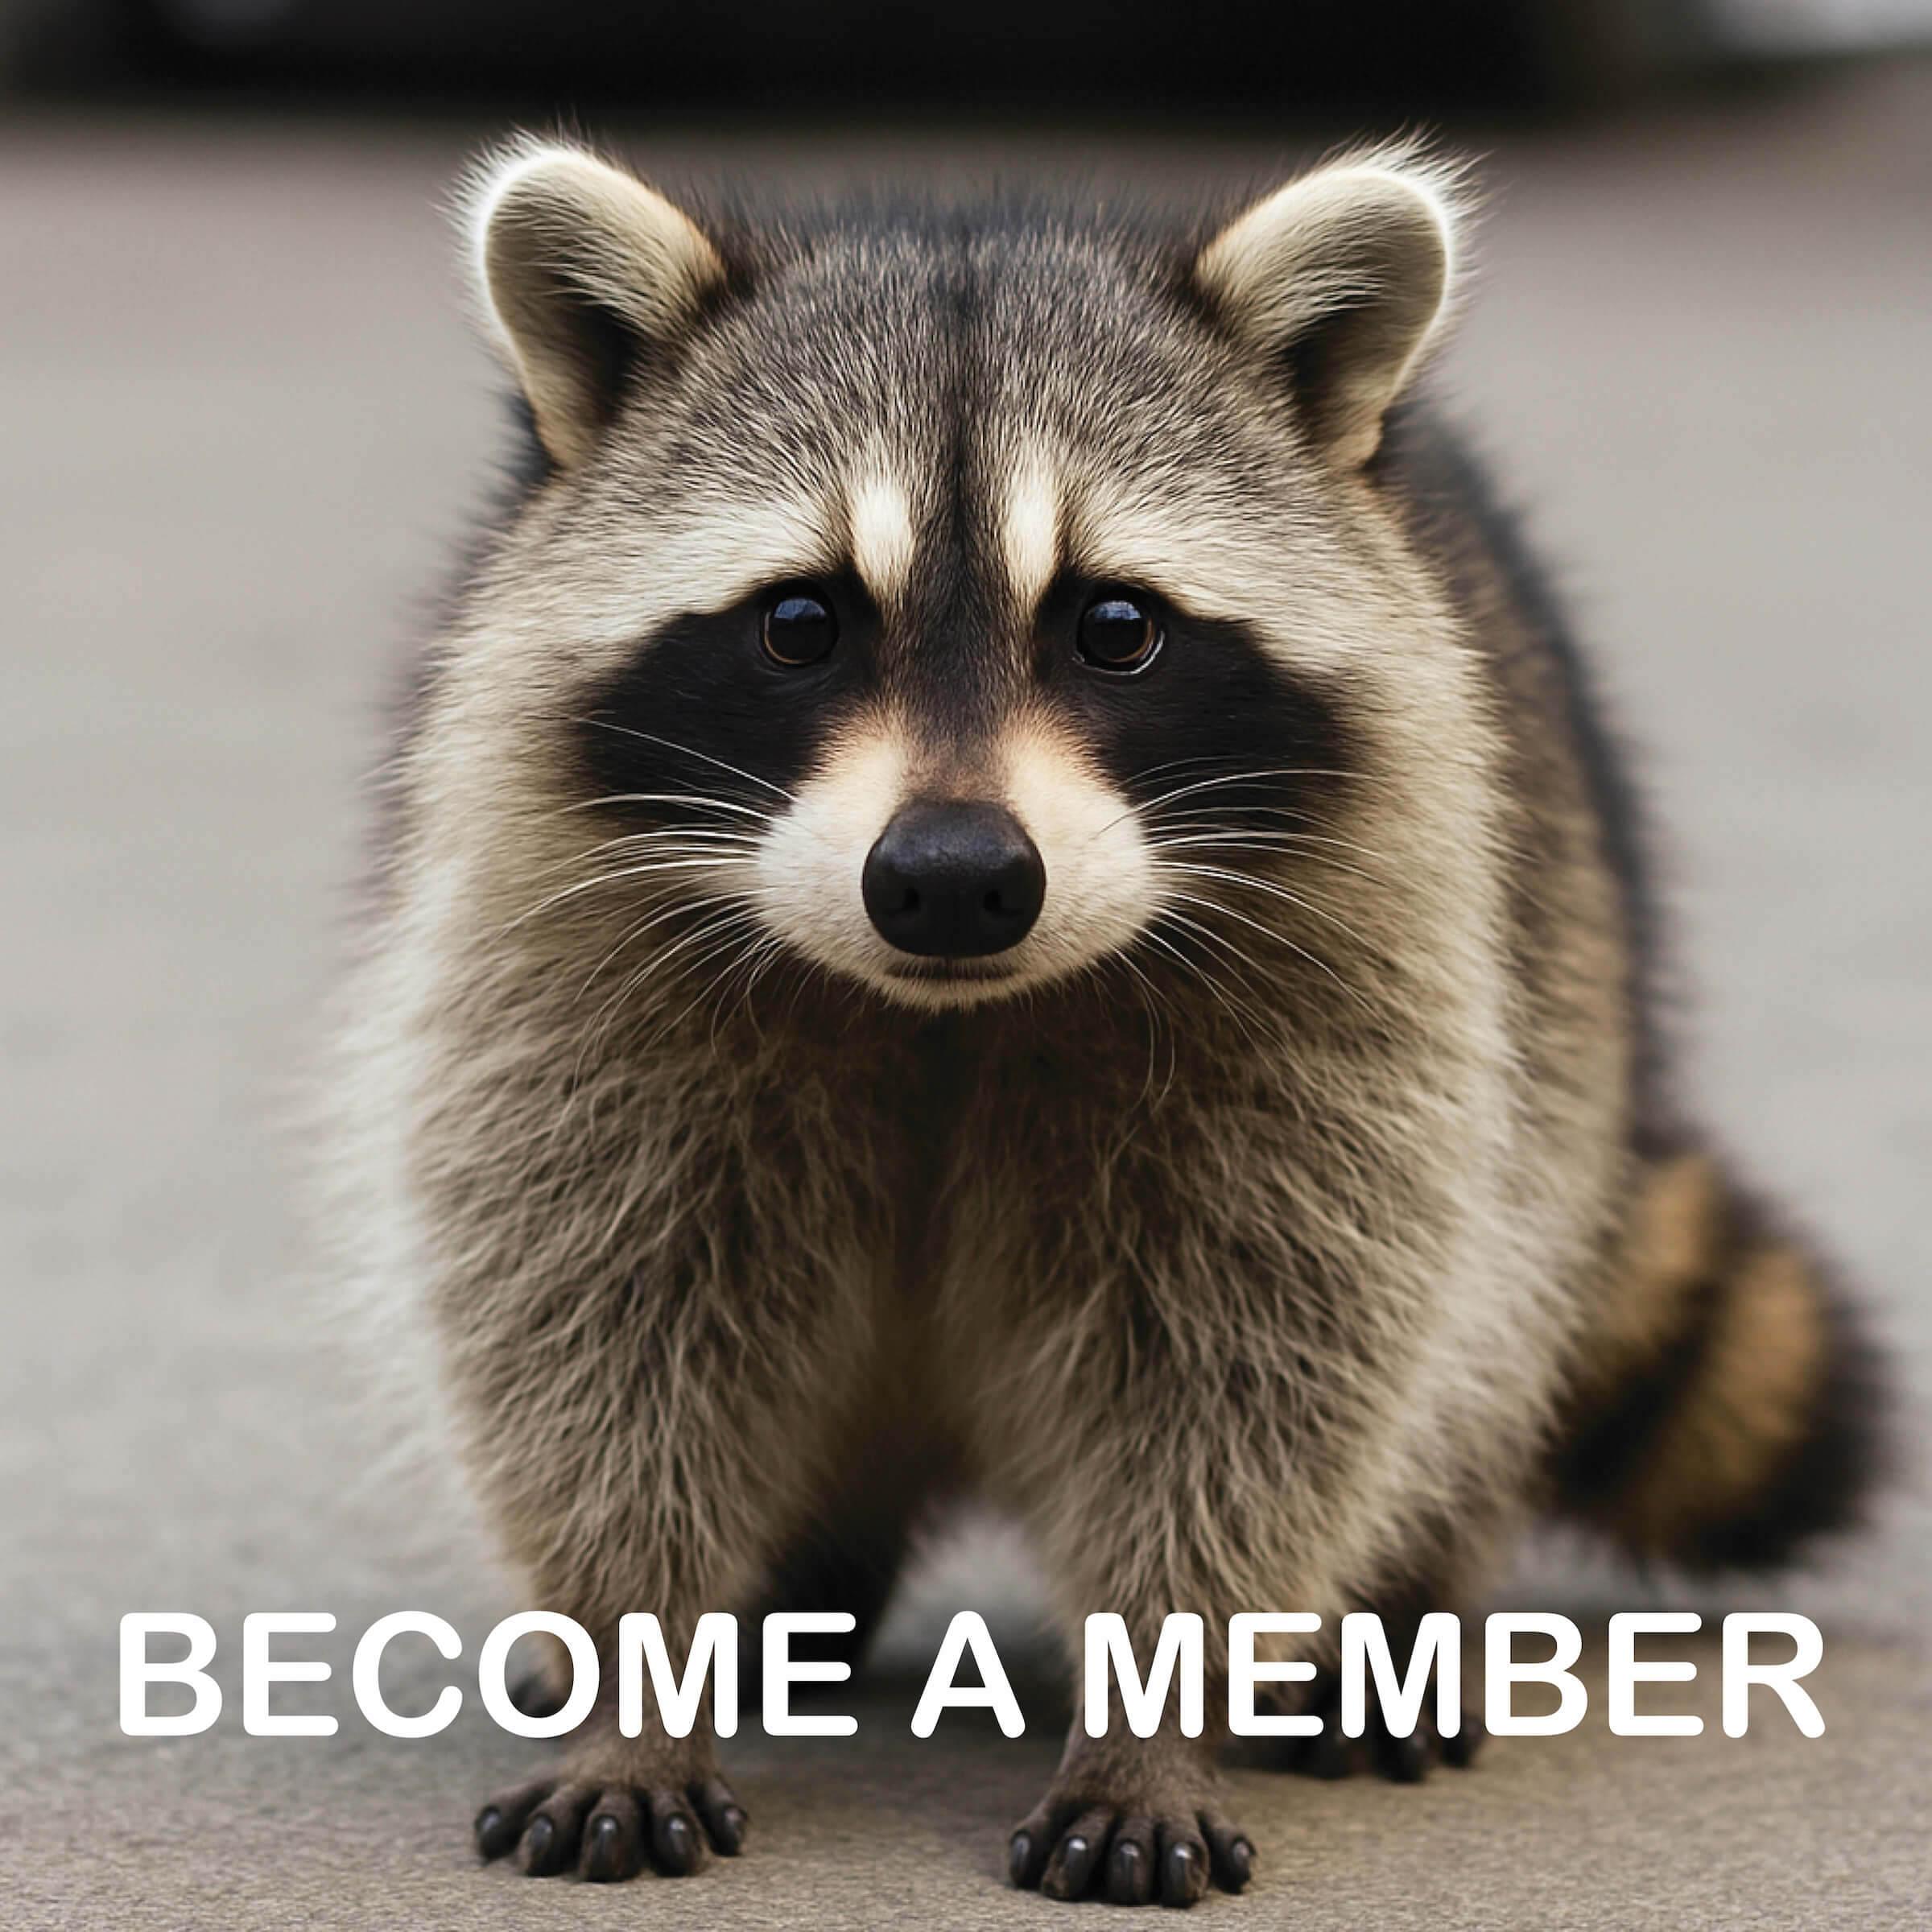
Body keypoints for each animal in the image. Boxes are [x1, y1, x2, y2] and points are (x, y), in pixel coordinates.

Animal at [325, 135, 1885, 1905]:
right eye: (801, 624)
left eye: (1115, 626)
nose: (948, 881)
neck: (942, 1009)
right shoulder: (568, 948)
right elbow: (593, 1313)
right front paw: (635, 1669)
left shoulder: (1347, 988)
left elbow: (1253, 1358)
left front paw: (1153, 1703)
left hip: (1561, 994)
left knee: (1472, 1317)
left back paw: (1396, 1616)